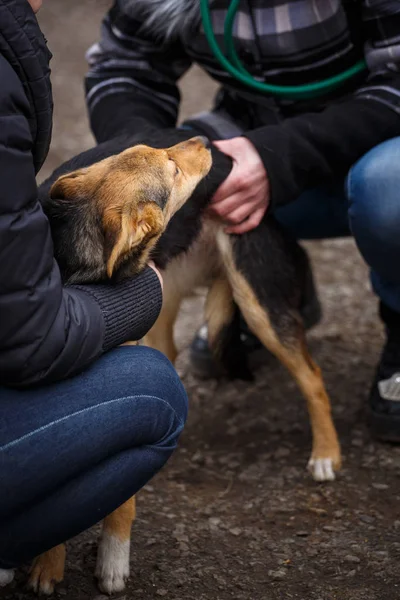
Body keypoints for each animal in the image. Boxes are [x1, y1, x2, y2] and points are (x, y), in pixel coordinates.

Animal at [27, 129, 340, 592]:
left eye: (160, 154)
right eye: (171, 168)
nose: (205, 140)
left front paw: (113, 558)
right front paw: (47, 560)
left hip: (256, 299)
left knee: (312, 376)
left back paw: (326, 454)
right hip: (166, 299)